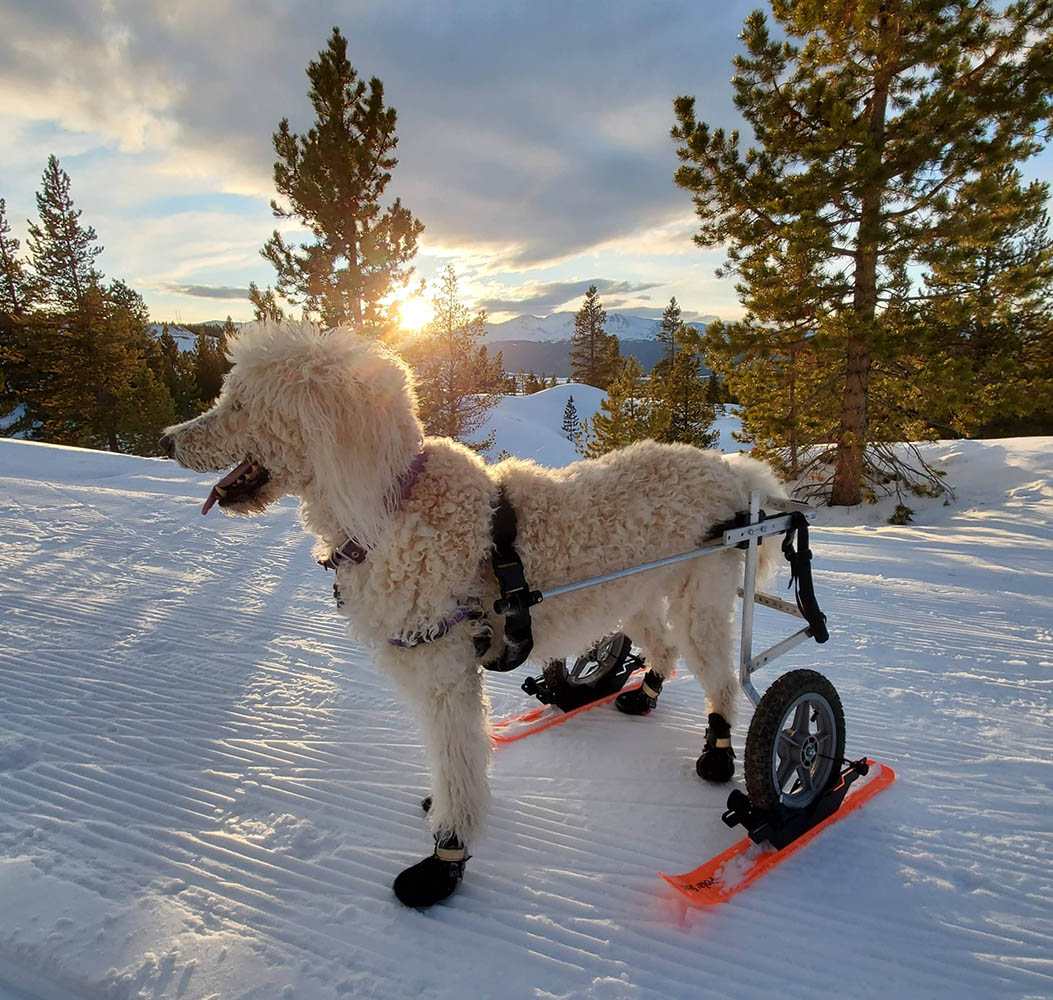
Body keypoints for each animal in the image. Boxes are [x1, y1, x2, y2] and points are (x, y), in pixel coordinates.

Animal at [162, 320, 783, 909]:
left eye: (239, 403)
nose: (167, 441)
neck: (389, 512)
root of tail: (733, 471)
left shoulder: (447, 678)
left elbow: (458, 765)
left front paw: (445, 860)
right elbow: (453, 764)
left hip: (701, 598)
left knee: (724, 681)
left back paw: (721, 754)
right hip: (631, 596)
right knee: (664, 648)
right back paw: (642, 694)